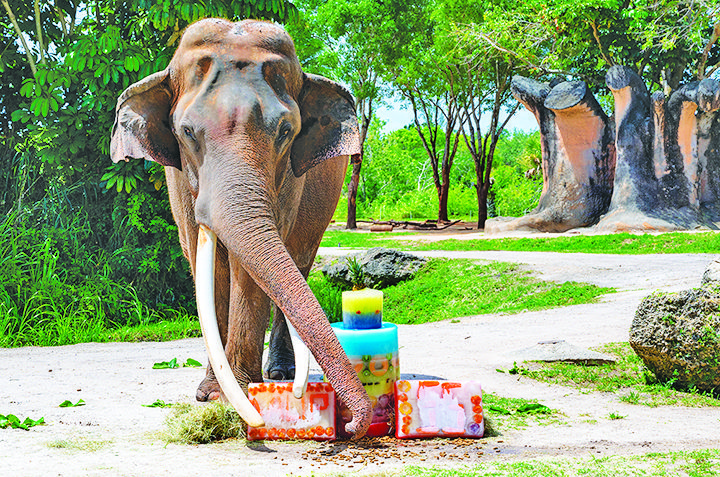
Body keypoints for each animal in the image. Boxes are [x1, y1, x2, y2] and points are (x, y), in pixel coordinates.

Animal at [112, 16, 374, 436]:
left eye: (286, 132)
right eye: (187, 132)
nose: (352, 424)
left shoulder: (288, 182)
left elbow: (246, 271)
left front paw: (234, 394)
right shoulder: (178, 180)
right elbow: (208, 265)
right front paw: (210, 395)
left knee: (299, 261)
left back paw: (280, 373)